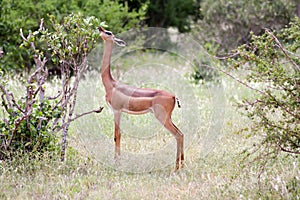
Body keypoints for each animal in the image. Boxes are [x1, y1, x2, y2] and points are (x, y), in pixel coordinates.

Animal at [99, 26, 183, 170]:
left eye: (108, 32)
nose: (99, 28)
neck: (111, 84)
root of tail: (173, 96)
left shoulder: (117, 110)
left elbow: (117, 135)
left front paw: (117, 163)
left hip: (162, 118)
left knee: (178, 135)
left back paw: (176, 169)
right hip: (169, 118)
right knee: (181, 134)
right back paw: (182, 166)